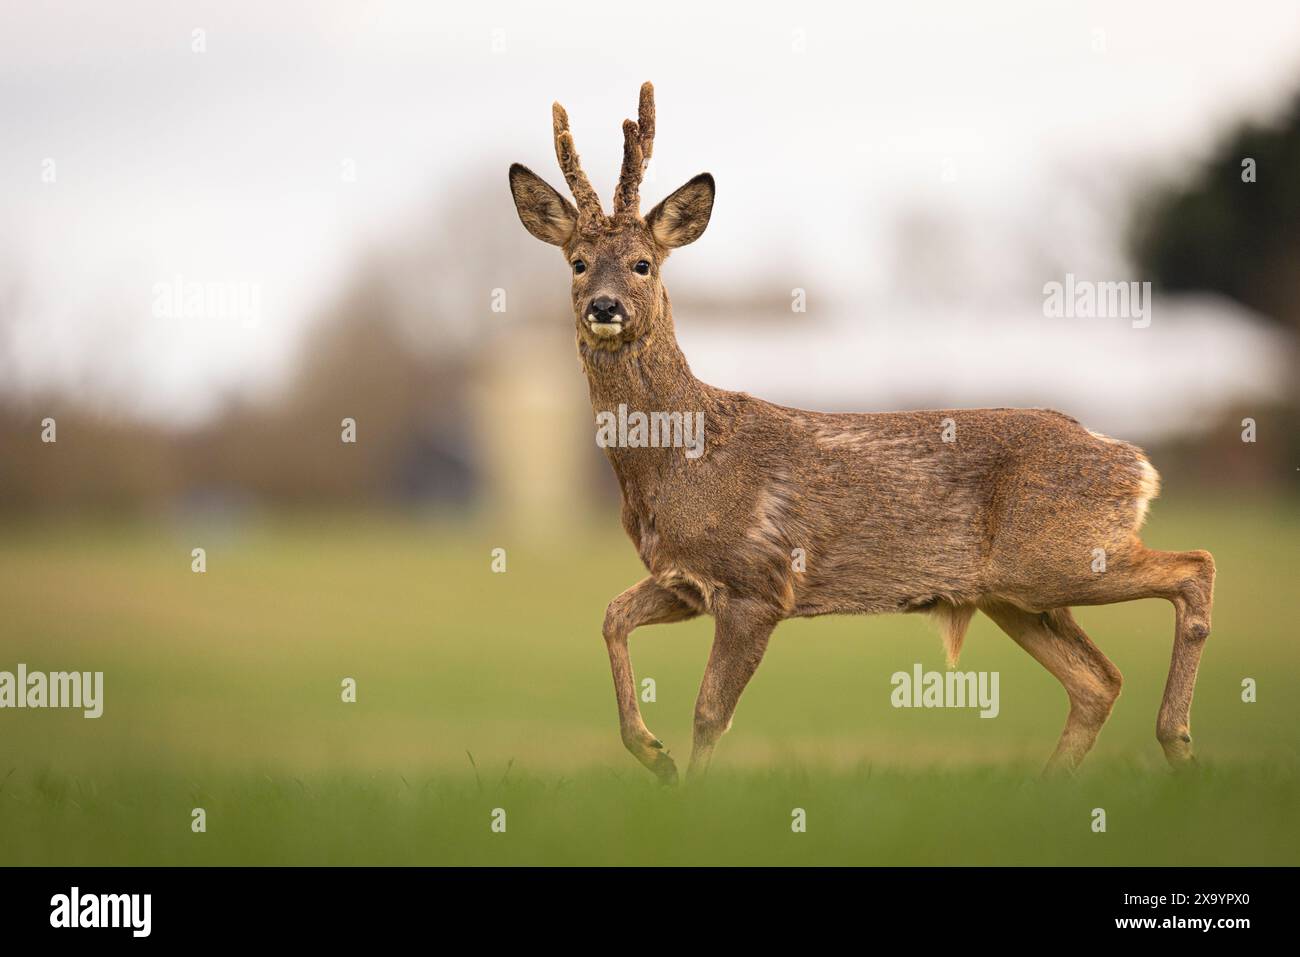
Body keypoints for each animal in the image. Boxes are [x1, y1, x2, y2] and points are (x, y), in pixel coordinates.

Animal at [504, 82, 1206, 785]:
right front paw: (654, 755)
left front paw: (690, 785)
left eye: (643, 263)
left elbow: (709, 712)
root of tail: (1135, 463)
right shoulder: (684, 579)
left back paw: (1176, 739)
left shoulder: (758, 581)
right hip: (1016, 592)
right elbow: (611, 617)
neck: (679, 459)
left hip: (1059, 556)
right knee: (1099, 680)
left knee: (1193, 568)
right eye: (578, 263)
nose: (605, 307)